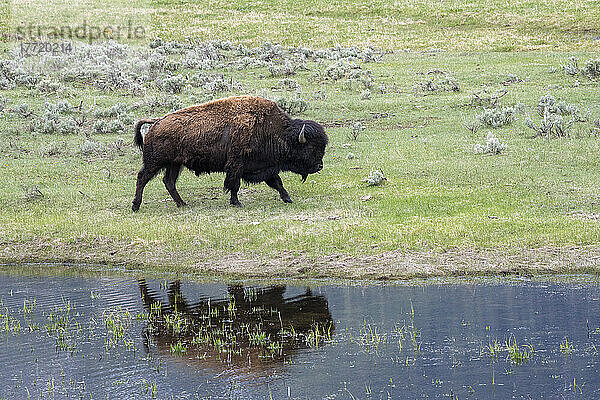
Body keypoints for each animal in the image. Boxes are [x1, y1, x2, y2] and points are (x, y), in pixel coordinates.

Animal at [132, 95, 328, 211]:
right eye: (310, 147)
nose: (319, 166)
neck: (277, 132)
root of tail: (156, 122)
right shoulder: (236, 164)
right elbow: (234, 184)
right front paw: (237, 202)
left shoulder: (266, 167)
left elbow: (277, 182)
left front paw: (287, 198)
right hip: (155, 162)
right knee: (142, 178)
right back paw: (136, 206)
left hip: (174, 164)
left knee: (169, 182)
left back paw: (182, 204)